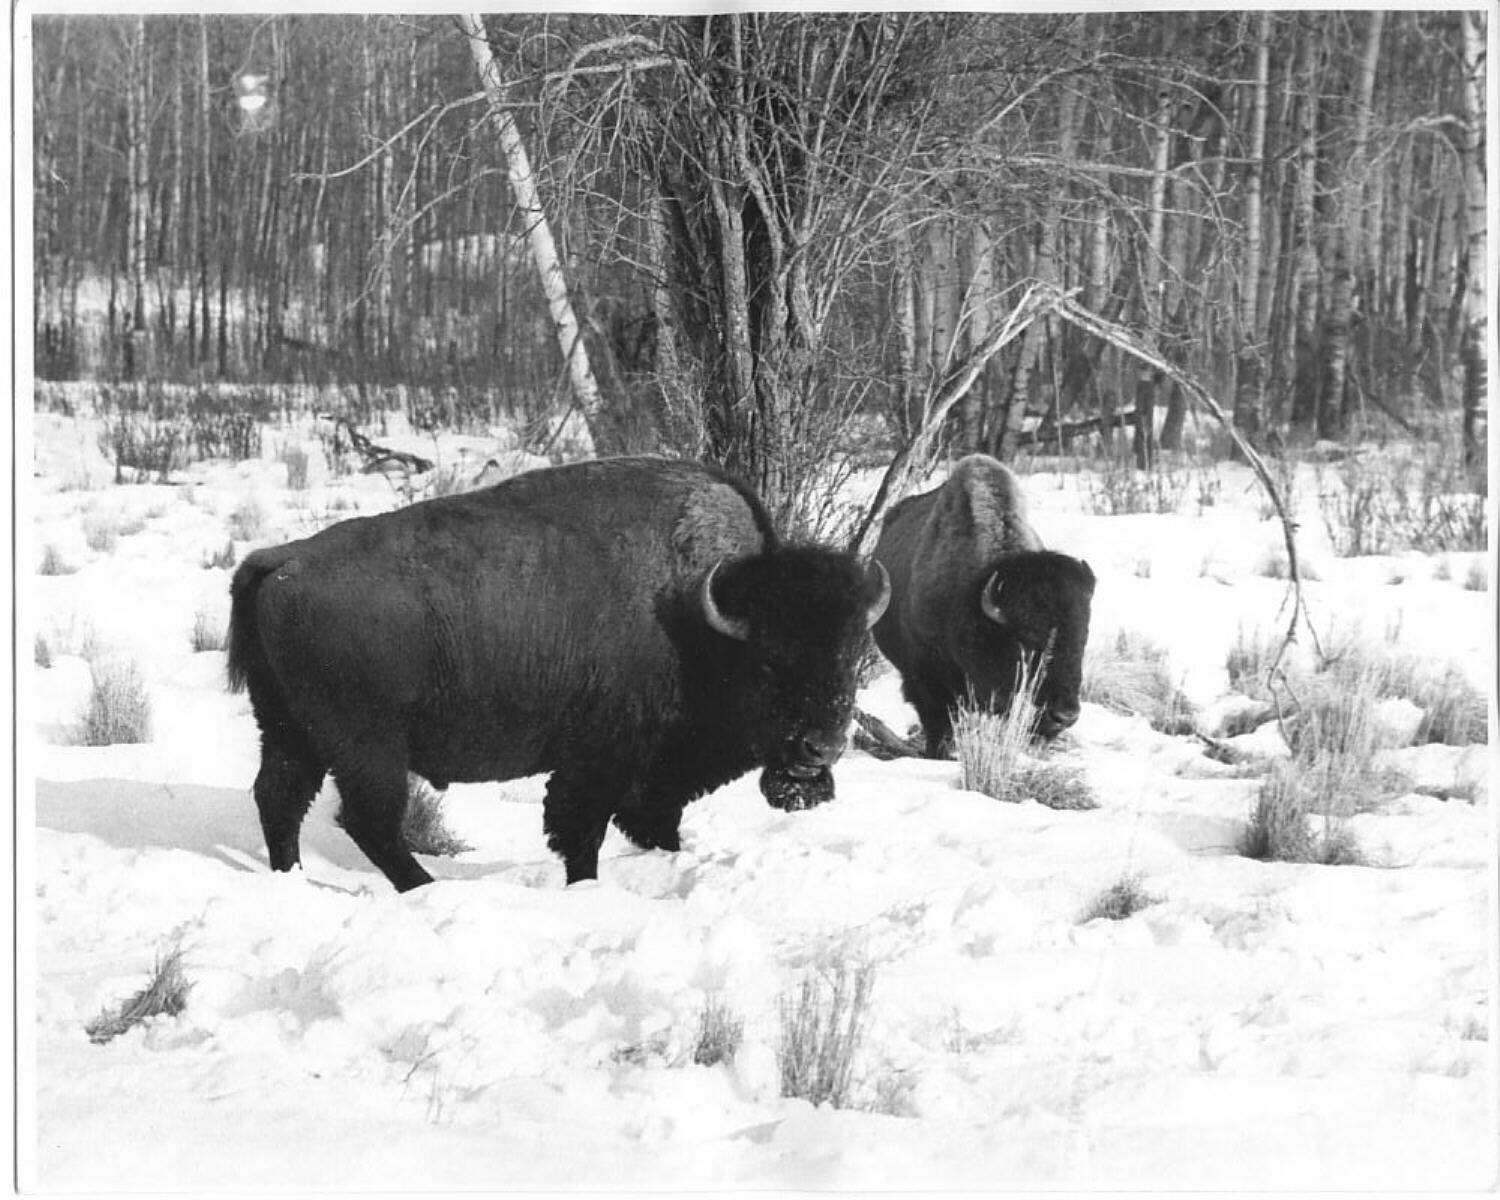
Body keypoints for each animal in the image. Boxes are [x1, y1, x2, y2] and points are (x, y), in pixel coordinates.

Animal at [222, 459, 888, 888]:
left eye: (853, 653)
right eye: (772, 661)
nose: (822, 748)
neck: (700, 616)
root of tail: (280, 561)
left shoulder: (651, 777)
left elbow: (650, 824)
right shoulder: (603, 762)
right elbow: (581, 831)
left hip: (288, 730)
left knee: (279, 798)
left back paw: (290, 878)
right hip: (367, 745)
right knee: (369, 820)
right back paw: (425, 887)